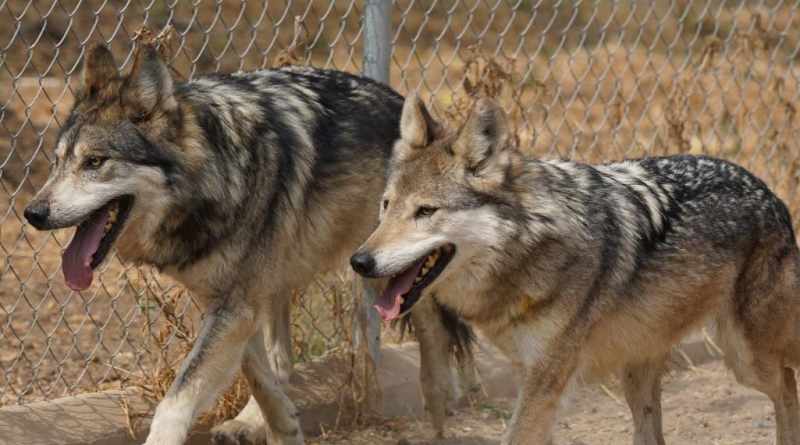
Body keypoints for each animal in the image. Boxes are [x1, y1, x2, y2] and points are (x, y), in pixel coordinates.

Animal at [22, 42, 475, 445]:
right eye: (57, 162)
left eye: (94, 162)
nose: (33, 213)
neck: (215, 173)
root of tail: (400, 99)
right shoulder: (229, 300)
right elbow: (258, 373)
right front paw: (284, 426)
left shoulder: (236, 305)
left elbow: (177, 400)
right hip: (284, 281)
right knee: (282, 359)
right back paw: (251, 423)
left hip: (384, 269)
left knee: (435, 334)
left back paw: (441, 402)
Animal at [351, 95, 800, 445]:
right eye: (387, 205)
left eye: (426, 211)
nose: (359, 261)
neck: (529, 243)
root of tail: (770, 193)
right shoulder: (532, 377)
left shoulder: (546, 381)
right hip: (638, 371)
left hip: (743, 358)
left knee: (788, 385)